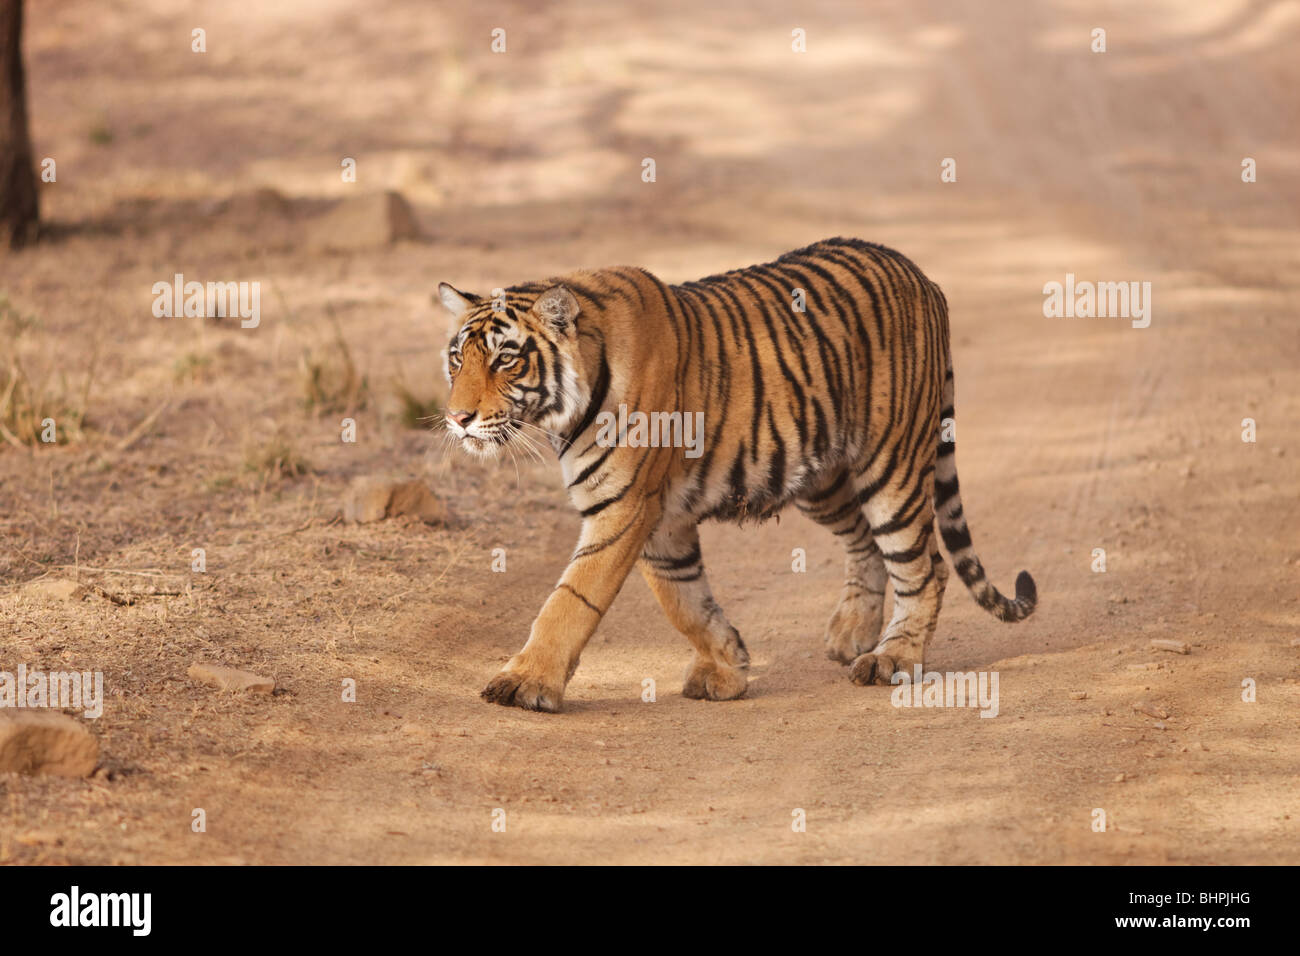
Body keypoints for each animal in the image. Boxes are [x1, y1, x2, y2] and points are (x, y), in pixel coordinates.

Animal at [436, 238, 1034, 712]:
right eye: (456, 360)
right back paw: (852, 635)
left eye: (506, 359)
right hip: (824, 479)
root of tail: (921, 275)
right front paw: (726, 667)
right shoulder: (660, 517)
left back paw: (894, 658)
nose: (457, 418)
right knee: (869, 544)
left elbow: (570, 600)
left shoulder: (623, 506)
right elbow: (684, 599)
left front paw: (524, 683)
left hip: (892, 464)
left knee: (924, 564)